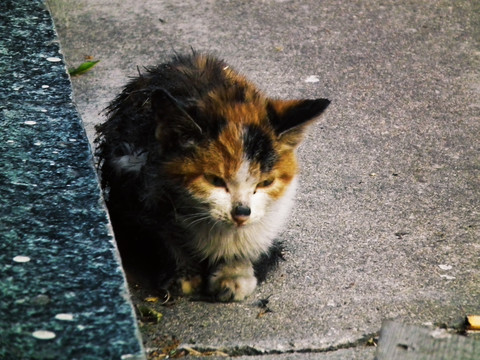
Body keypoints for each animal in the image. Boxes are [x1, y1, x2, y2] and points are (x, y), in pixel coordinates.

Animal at [96, 53, 330, 300]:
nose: (241, 213)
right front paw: (183, 274)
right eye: (215, 180)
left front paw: (235, 274)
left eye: (266, 182)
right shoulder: (140, 184)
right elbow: (162, 235)